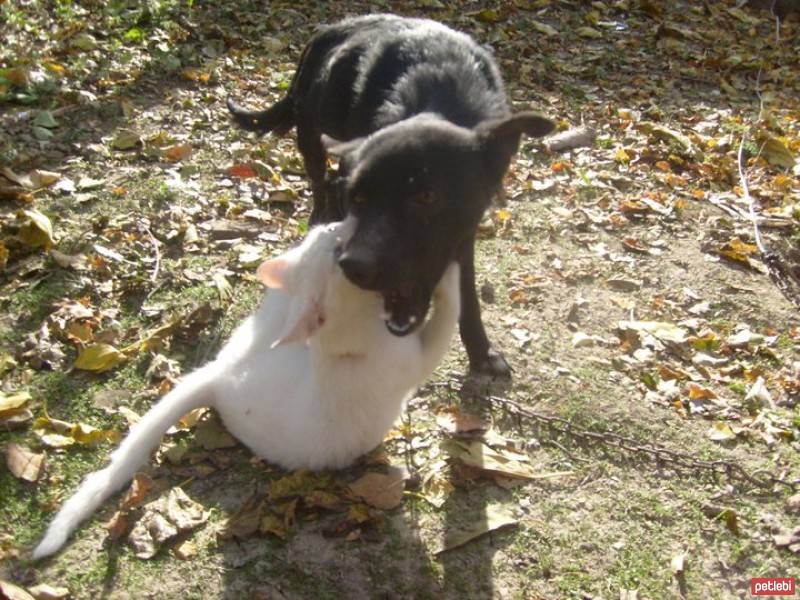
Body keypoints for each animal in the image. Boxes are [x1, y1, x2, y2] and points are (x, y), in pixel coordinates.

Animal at [32, 218, 462, 560]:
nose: (336, 222)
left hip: (265, 320)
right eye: (337, 251)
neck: (341, 339)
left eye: (332, 237)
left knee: (283, 299)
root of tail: (218, 376)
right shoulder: (418, 357)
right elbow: (448, 313)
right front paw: (451, 271)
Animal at [228, 15, 552, 376]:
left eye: (426, 196)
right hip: (311, 136)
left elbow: (468, 294)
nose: (353, 266)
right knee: (320, 181)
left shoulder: (463, 235)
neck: (439, 94)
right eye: (359, 198)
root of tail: (330, 28)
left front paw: (481, 351)